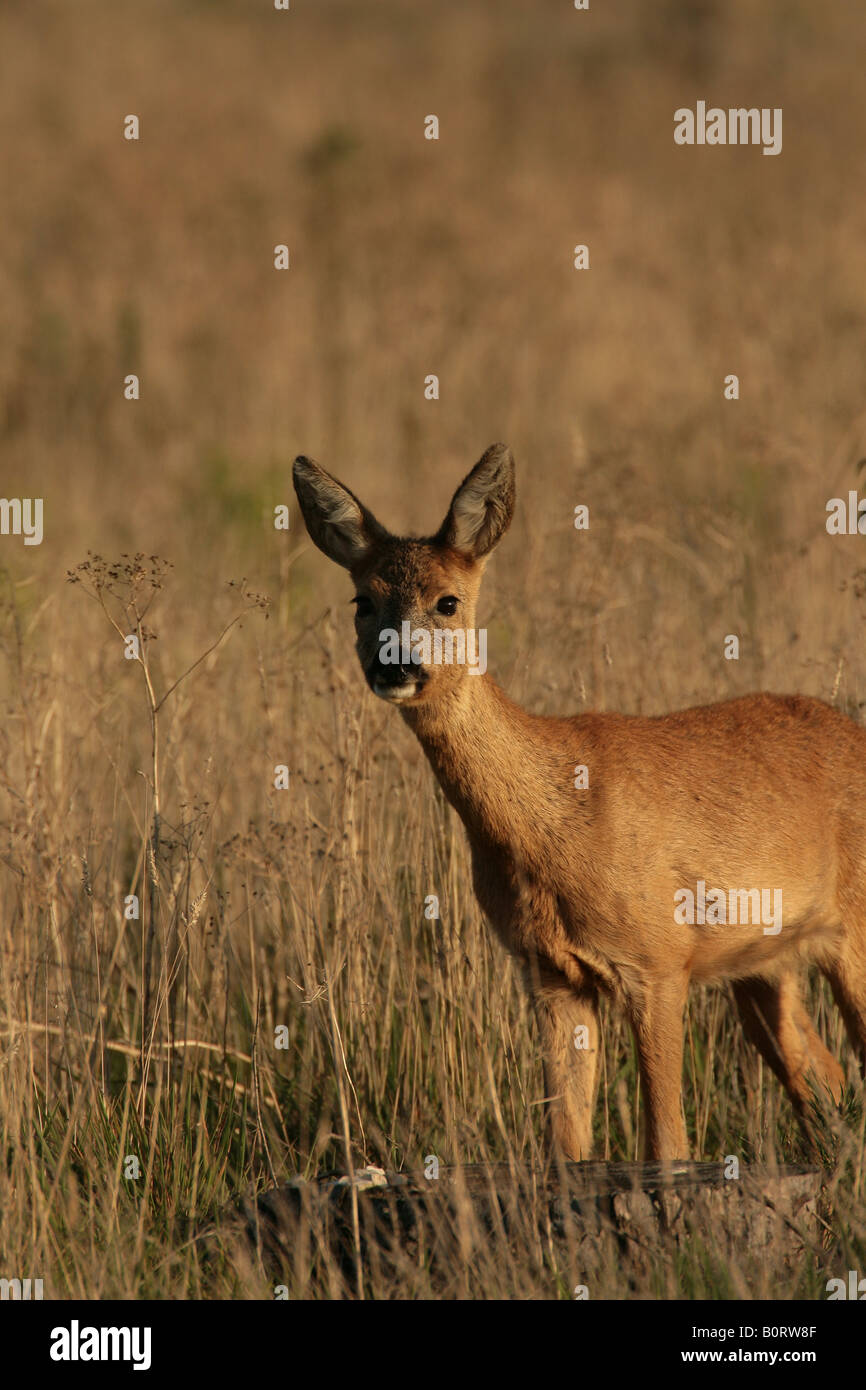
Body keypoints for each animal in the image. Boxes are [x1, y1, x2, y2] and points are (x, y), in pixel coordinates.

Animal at [293, 442, 866, 1161]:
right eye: (362, 600)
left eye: (448, 600)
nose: (395, 667)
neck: (557, 819)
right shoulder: (551, 974)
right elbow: (565, 1144)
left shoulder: (659, 958)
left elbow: (668, 1146)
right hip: (766, 965)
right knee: (824, 1080)